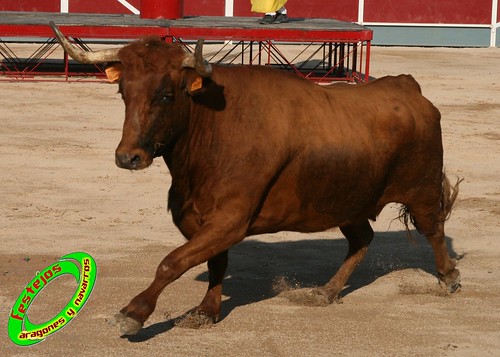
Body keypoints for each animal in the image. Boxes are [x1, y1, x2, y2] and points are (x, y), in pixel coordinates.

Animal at [50, 21, 460, 334]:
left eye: (167, 95)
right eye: (123, 91)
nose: (128, 157)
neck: (211, 129)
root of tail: (406, 85)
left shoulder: (231, 218)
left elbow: (173, 262)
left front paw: (133, 313)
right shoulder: (202, 218)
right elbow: (214, 263)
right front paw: (206, 312)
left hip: (421, 188)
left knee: (434, 230)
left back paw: (449, 278)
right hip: (349, 200)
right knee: (362, 239)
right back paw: (326, 292)